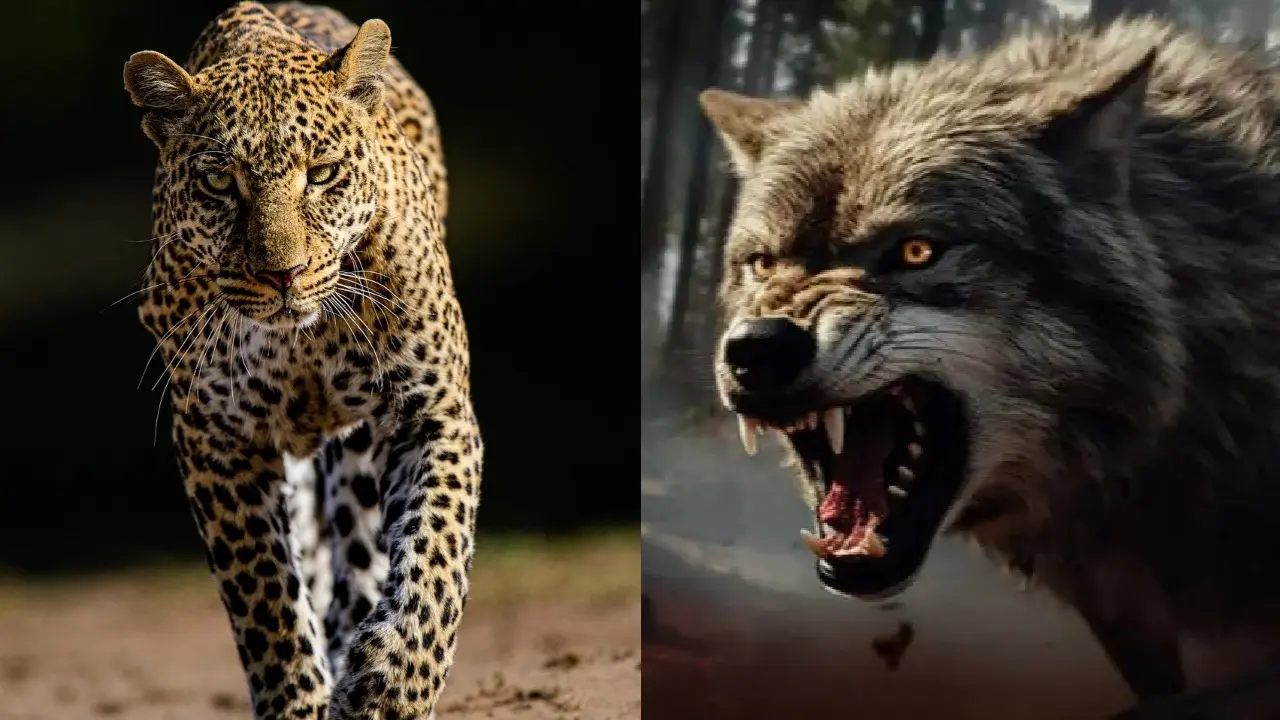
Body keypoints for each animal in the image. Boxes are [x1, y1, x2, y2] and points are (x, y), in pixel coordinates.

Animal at [121, 3, 480, 718]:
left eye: (322, 173)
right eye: (218, 182)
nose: (281, 275)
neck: (301, 342)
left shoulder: (432, 411)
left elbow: (435, 555)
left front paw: (391, 688)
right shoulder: (216, 438)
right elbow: (266, 597)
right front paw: (299, 699)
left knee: (364, 556)